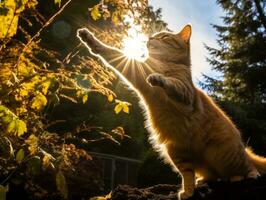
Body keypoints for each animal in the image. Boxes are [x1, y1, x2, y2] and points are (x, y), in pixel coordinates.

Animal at [77, 25, 266, 200]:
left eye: (164, 37)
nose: (149, 38)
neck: (161, 64)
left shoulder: (185, 91)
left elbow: (171, 83)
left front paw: (158, 78)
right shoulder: (135, 69)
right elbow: (112, 53)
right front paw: (89, 39)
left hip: (228, 154)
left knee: (247, 166)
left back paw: (247, 175)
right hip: (176, 152)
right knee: (194, 175)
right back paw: (192, 188)